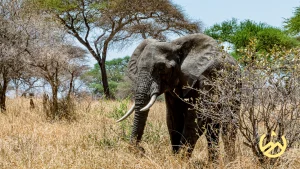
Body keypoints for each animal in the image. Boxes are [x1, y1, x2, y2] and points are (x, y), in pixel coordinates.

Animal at [117, 33, 241, 162]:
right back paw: (213, 163)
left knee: (228, 126)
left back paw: (229, 161)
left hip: (235, 87)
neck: (174, 45)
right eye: (138, 68)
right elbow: (173, 119)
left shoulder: (206, 80)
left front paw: (181, 160)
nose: (140, 149)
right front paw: (176, 158)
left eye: (161, 68)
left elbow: (196, 119)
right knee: (212, 130)